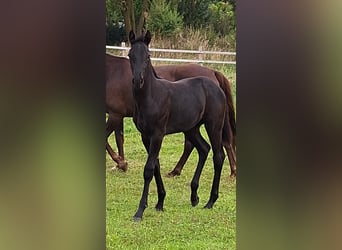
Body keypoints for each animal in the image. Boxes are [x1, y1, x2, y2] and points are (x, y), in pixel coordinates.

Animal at [106, 52, 235, 176]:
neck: (112, 72)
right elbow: (119, 139)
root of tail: (212, 72)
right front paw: (121, 164)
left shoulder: (114, 115)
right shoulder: (118, 115)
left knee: (195, 145)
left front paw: (121, 163)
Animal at [129, 30, 232, 221]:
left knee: (218, 156)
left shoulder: (158, 134)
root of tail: (216, 86)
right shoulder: (145, 136)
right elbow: (156, 166)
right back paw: (194, 197)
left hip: (214, 125)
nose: (138, 81)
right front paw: (160, 202)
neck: (151, 96)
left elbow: (148, 169)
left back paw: (210, 201)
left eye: (148, 56)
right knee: (204, 149)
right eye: (130, 55)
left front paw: (140, 211)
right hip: (191, 128)